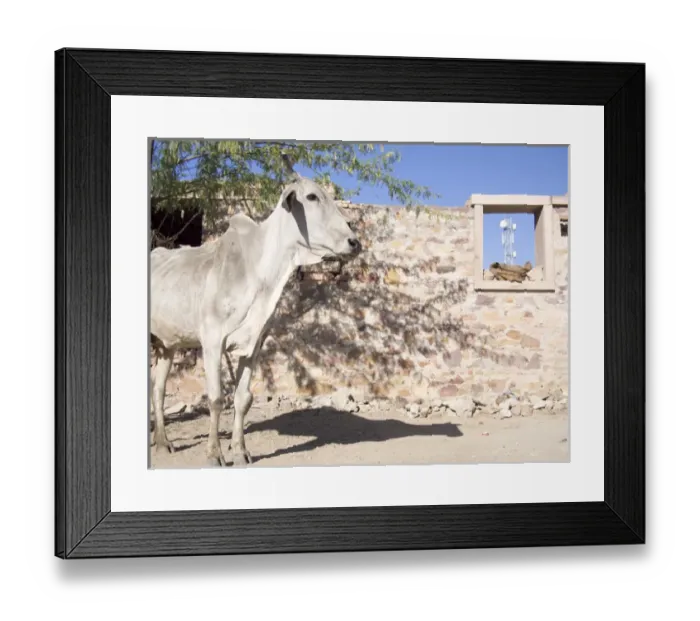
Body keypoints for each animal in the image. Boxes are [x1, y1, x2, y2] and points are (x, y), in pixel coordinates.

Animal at [149, 157, 362, 467]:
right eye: (311, 196)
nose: (354, 242)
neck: (262, 273)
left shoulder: (254, 344)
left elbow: (243, 399)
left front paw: (240, 450)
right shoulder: (212, 341)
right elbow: (216, 398)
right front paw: (214, 454)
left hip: (167, 344)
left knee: (159, 387)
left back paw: (163, 442)